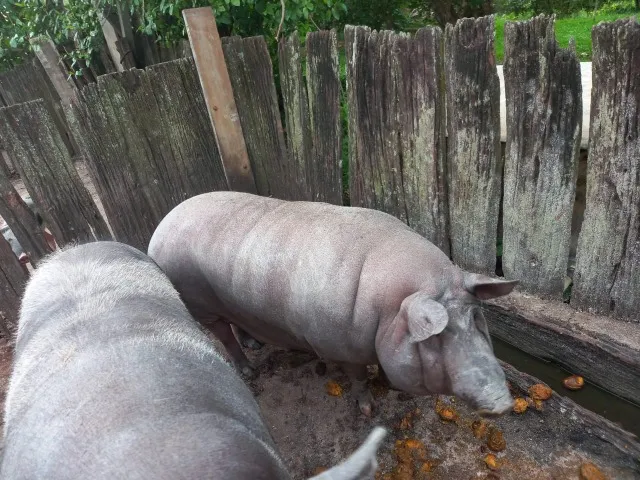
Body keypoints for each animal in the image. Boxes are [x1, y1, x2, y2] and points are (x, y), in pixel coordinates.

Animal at [147, 192, 519, 417]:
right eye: (436, 336)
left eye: (476, 317)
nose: (502, 402)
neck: (387, 310)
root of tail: (162, 223)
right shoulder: (343, 349)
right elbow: (358, 379)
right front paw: (368, 410)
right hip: (199, 305)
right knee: (222, 334)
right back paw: (249, 371)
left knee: (237, 323)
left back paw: (255, 344)